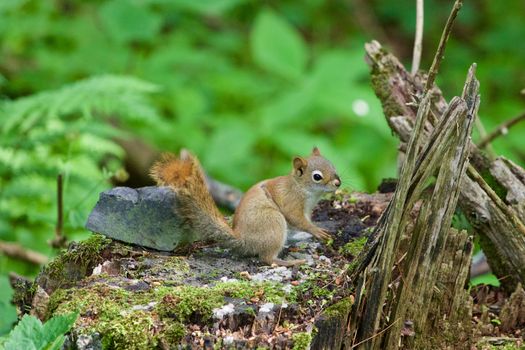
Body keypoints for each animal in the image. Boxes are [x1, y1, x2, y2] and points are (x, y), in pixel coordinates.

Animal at [149, 147, 342, 266]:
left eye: (332, 165)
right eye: (317, 177)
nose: (338, 183)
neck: (302, 188)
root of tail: (243, 240)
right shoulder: (290, 201)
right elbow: (297, 219)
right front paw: (316, 231)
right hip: (273, 221)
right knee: (267, 258)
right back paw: (290, 262)